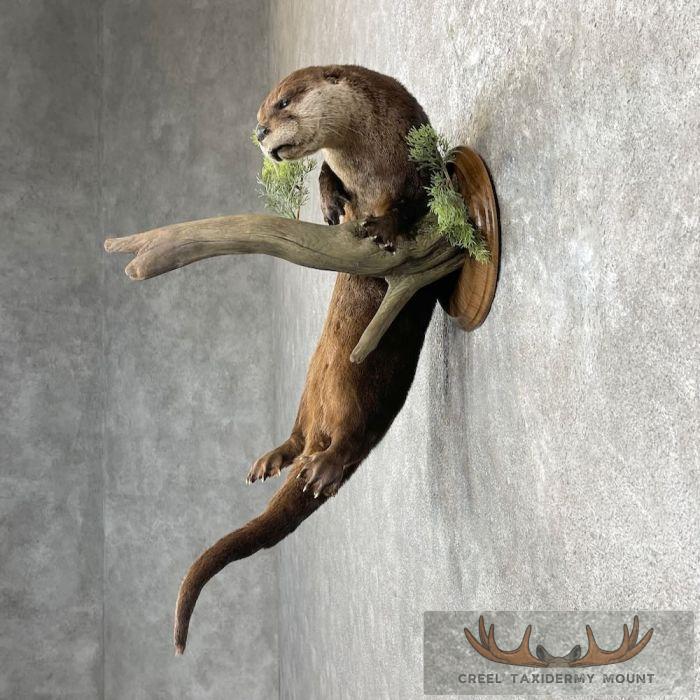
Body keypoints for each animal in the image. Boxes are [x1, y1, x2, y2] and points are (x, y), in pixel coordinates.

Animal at [174, 65, 441, 654]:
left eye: (281, 103)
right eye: (260, 110)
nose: (257, 132)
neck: (371, 163)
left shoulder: (417, 162)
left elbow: (416, 201)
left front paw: (384, 227)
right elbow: (326, 173)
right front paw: (331, 202)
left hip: (365, 385)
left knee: (355, 433)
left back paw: (324, 467)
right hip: (307, 387)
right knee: (297, 433)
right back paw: (273, 460)